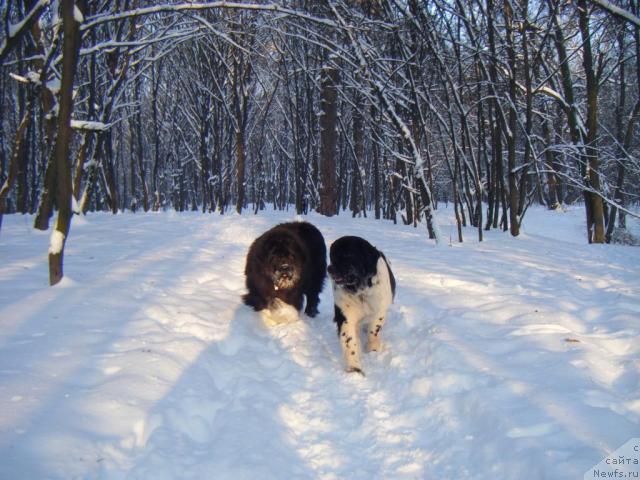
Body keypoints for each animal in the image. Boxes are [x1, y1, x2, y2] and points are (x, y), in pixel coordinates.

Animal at [330, 236, 396, 376]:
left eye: (347, 255)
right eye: (332, 256)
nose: (329, 268)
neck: (361, 291)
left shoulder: (380, 310)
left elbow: (374, 330)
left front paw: (372, 348)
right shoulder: (345, 314)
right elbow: (349, 340)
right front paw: (354, 368)